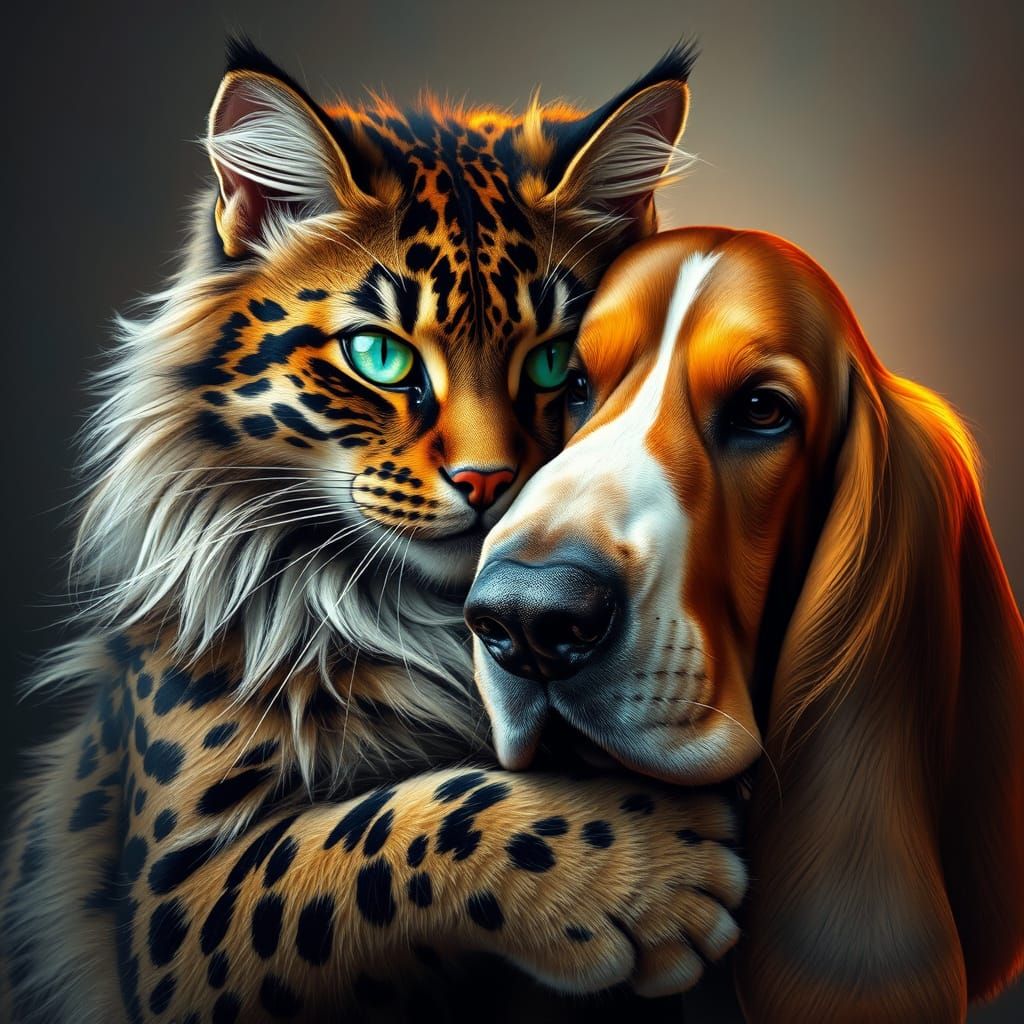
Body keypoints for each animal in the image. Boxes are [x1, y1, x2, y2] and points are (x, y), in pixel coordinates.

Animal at [0, 39, 746, 1023]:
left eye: (558, 362)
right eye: (381, 356)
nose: (489, 481)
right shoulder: (171, 901)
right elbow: (373, 830)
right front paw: (656, 869)